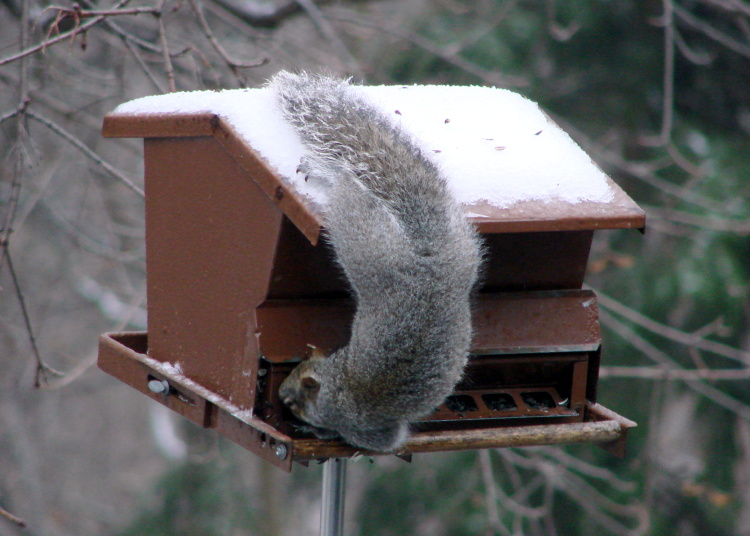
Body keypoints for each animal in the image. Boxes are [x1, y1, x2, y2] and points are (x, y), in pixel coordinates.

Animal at [272, 71, 482, 452]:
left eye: (295, 402)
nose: (279, 395)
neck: (339, 383)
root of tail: (425, 253)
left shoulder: (367, 430)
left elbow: (382, 442)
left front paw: (319, 432)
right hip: (462, 252)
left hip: (362, 241)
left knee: (349, 187)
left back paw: (325, 173)